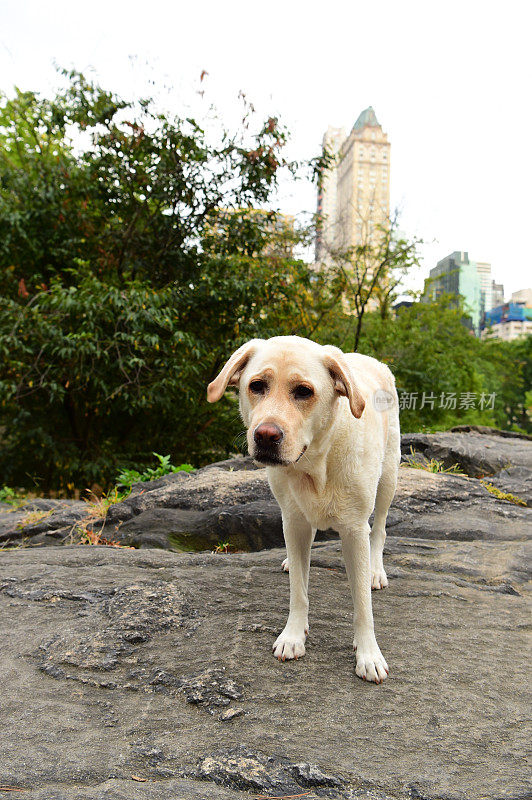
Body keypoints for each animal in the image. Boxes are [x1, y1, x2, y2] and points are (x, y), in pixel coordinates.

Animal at [208, 334, 400, 684]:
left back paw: (376, 571)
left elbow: (362, 605)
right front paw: (293, 635)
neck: (313, 464)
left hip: (389, 477)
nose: (265, 436)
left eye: (304, 391)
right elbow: (299, 588)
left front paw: (368, 654)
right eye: (257, 385)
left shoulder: (354, 529)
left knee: (379, 528)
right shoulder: (294, 522)